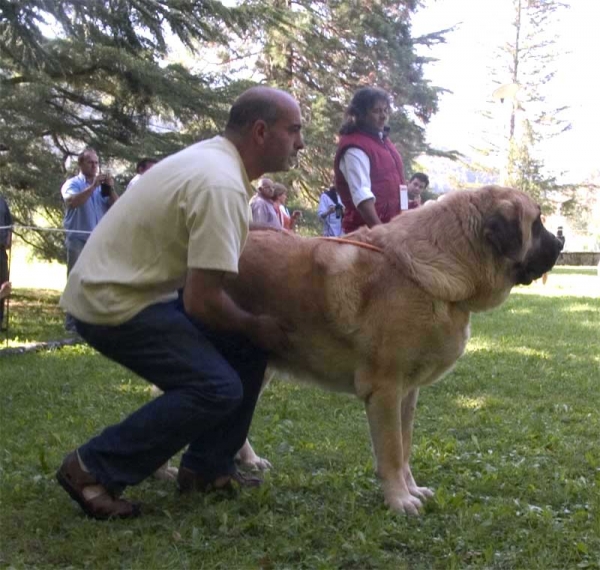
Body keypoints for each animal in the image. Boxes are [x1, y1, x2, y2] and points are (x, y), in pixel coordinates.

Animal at [227, 185, 564, 510]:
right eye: (537, 223)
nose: (560, 243)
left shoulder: (407, 392)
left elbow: (404, 447)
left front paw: (411, 489)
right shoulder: (385, 389)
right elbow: (391, 450)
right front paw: (399, 500)